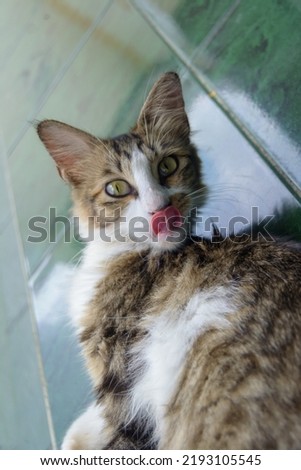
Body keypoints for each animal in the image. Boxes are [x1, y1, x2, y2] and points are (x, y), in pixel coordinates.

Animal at [37, 71, 300, 450]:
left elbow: (117, 433)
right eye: (116, 188)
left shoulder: (122, 384)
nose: (161, 208)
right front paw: (81, 431)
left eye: (168, 165)